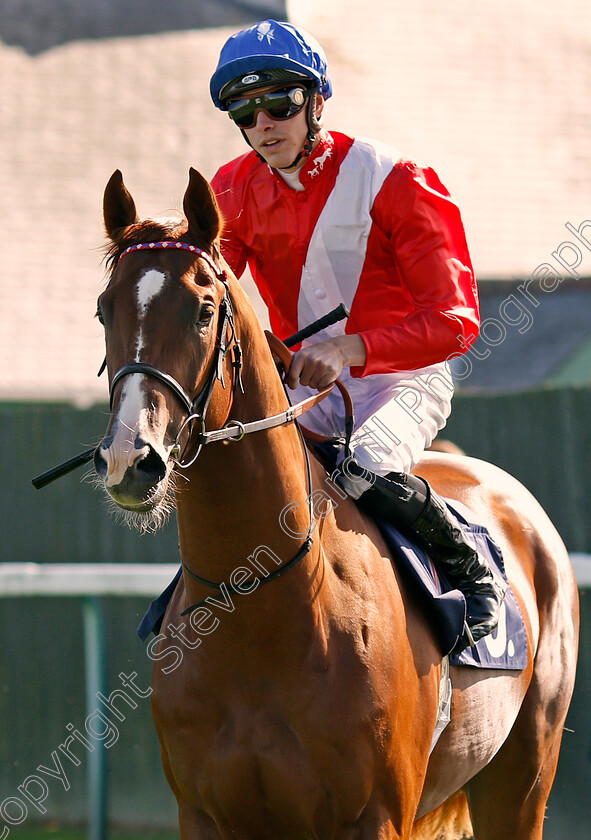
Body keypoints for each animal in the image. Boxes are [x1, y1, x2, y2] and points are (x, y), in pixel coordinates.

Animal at [95, 167, 580, 836]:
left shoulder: (376, 814)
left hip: (525, 775)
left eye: (203, 309)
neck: (260, 616)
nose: (129, 459)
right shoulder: (204, 814)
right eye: (103, 309)